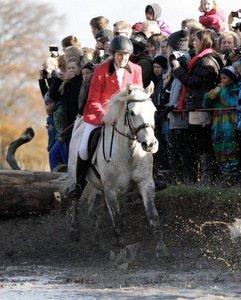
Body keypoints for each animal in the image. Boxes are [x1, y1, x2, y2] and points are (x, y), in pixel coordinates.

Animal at [72, 84, 169, 258]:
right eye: (132, 113)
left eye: (153, 111)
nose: (150, 144)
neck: (129, 150)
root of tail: (80, 121)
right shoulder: (111, 188)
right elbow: (118, 218)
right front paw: (123, 249)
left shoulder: (145, 182)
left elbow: (152, 214)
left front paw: (161, 248)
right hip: (76, 174)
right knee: (76, 198)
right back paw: (75, 231)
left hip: (103, 188)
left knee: (103, 208)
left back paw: (97, 238)